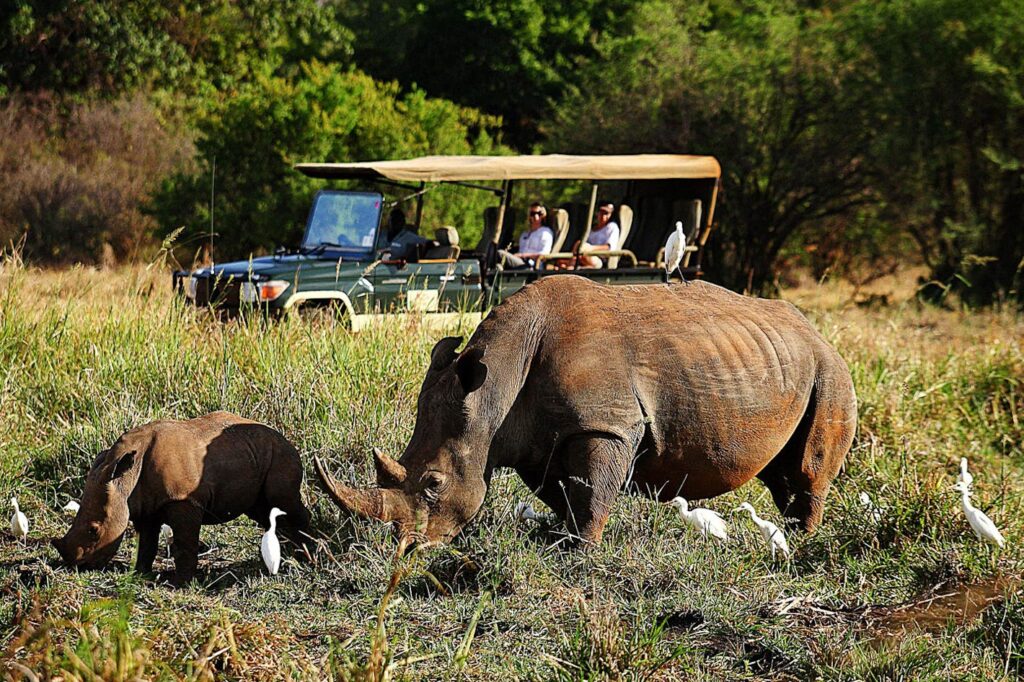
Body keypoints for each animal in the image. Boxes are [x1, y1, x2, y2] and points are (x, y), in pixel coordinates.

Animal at [52, 409, 307, 585]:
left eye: (94, 530)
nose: (76, 566)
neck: (124, 477)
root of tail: (284, 437)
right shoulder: (145, 505)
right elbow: (147, 543)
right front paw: (141, 574)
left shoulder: (182, 499)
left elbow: (185, 542)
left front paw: (180, 583)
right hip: (254, 454)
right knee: (264, 511)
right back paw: (290, 555)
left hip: (281, 454)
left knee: (283, 502)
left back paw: (305, 556)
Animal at [313, 274, 856, 544]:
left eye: (433, 484)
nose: (403, 546)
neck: (494, 388)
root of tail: (815, 330)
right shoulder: (537, 437)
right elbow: (563, 493)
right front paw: (561, 536)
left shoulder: (605, 424)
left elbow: (593, 492)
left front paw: (583, 551)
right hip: (782, 363)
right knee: (781, 472)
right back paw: (792, 533)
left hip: (831, 371)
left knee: (808, 469)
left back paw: (802, 543)